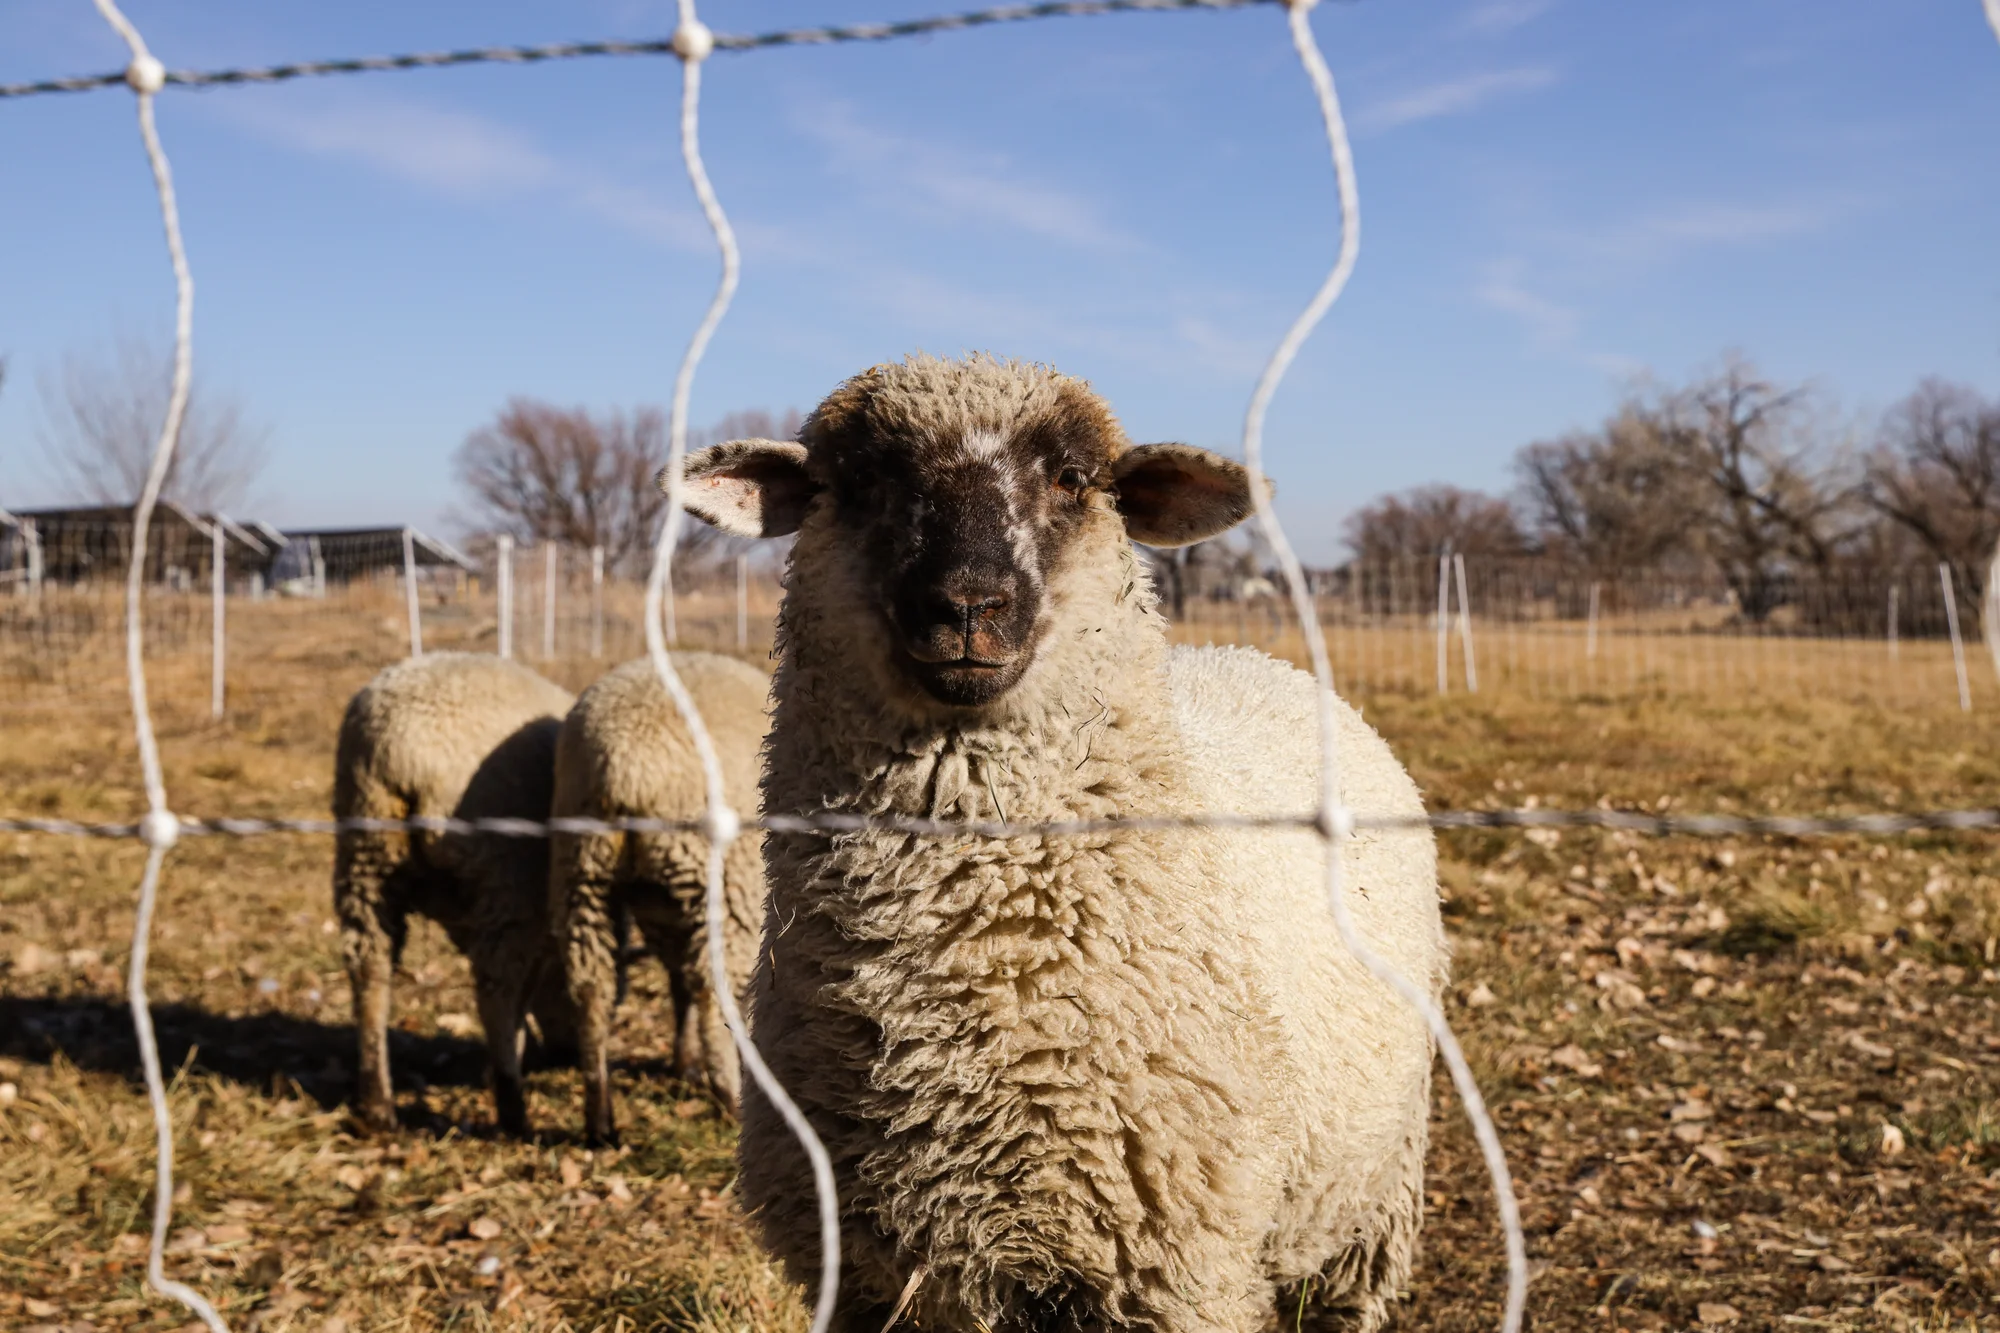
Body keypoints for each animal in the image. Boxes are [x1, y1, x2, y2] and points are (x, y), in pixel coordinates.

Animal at [332, 648, 576, 1128]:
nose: (568, 1055)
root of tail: (402, 748)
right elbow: (521, 992)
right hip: (505, 873)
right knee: (495, 989)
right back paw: (512, 1105)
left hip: (365, 855)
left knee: (369, 969)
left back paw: (375, 1103)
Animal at [548, 648, 772, 1136]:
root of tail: (627, 765)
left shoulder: (662, 911)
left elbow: (677, 982)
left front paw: (682, 1063)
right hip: (721, 884)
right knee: (711, 989)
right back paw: (730, 1096)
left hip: (583, 874)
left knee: (591, 988)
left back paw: (600, 1117)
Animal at [680, 352, 1448, 1328]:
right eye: (861, 480)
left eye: (1074, 478)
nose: (968, 604)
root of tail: (1255, 657)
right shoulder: (861, 1278)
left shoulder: (1174, 1274)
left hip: (1371, 1199)